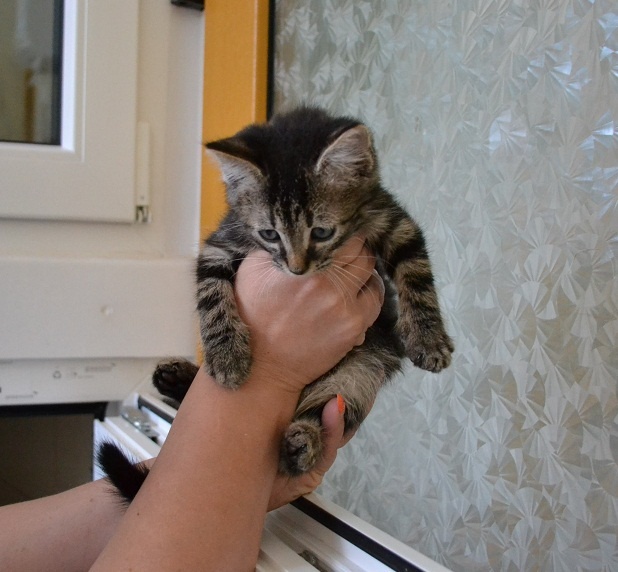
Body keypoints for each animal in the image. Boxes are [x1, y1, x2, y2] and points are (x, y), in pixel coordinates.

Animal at [98, 106, 454, 503]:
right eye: (270, 234)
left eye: (322, 232)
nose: (297, 269)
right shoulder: (221, 242)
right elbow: (211, 295)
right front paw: (227, 355)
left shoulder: (392, 219)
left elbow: (416, 274)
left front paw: (429, 340)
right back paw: (177, 378)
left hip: (361, 370)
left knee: (328, 404)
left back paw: (304, 443)